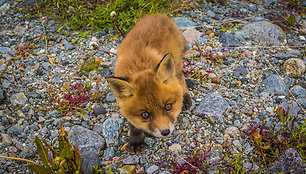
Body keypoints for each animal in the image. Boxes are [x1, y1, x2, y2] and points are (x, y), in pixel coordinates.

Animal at [107, 13, 191, 152]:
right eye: (145, 115)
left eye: (168, 107)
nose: (165, 132)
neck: (140, 67)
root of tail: (158, 14)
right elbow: (134, 125)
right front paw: (136, 140)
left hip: (177, 63)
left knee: (181, 79)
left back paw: (186, 98)